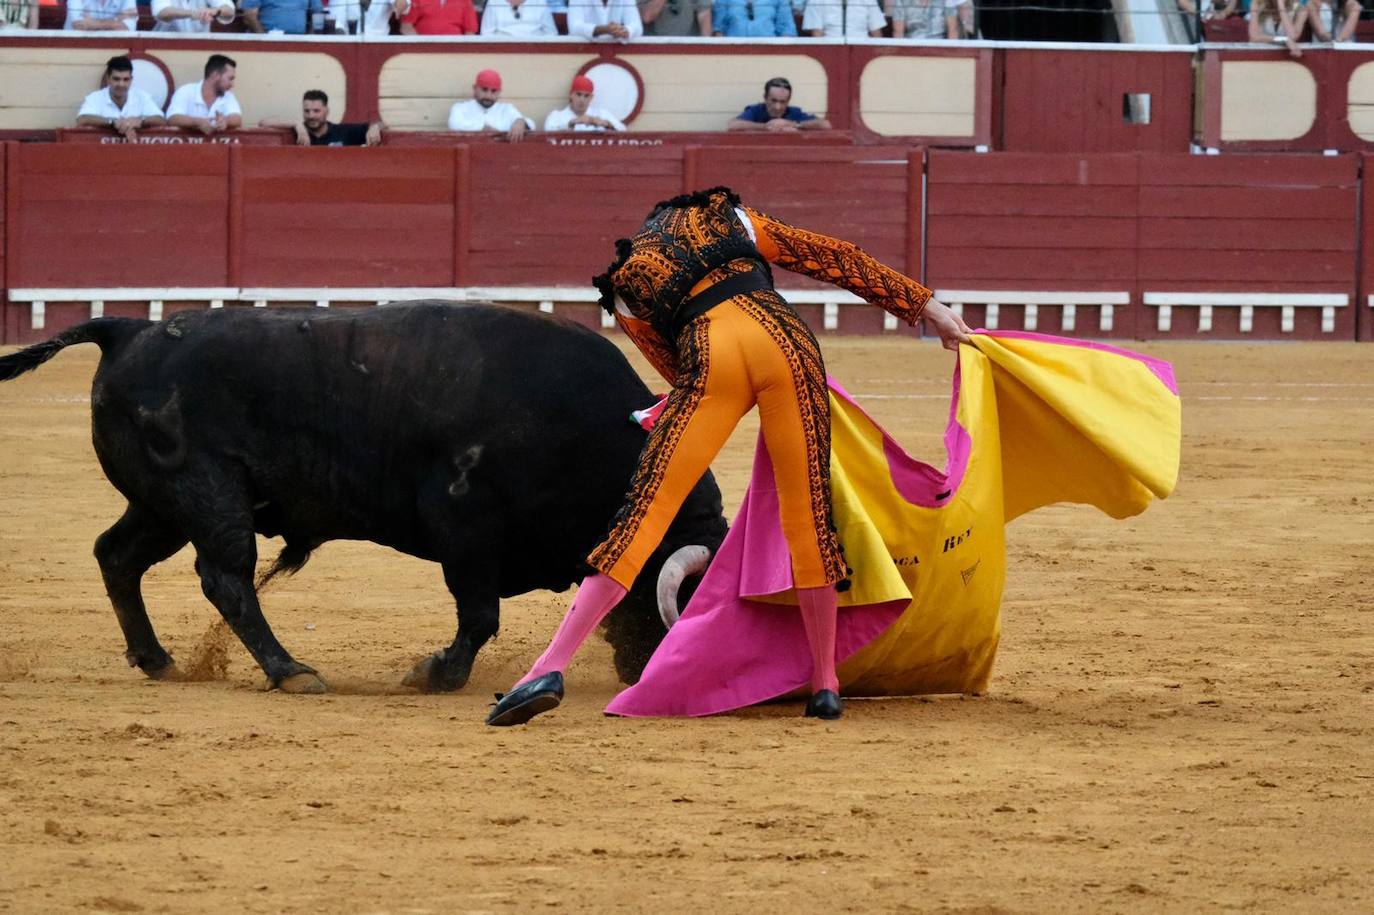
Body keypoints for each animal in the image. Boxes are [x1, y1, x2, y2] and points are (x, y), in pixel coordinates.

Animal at [0, 302, 730, 686]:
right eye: (687, 597)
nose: (650, 670)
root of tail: (127, 329)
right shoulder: (464, 522)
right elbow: (479, 613)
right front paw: (436, 674)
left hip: (162, 504)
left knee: (117, 555)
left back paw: (157, 660)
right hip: (207, 492)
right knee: (226, 577)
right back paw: (291, 670)